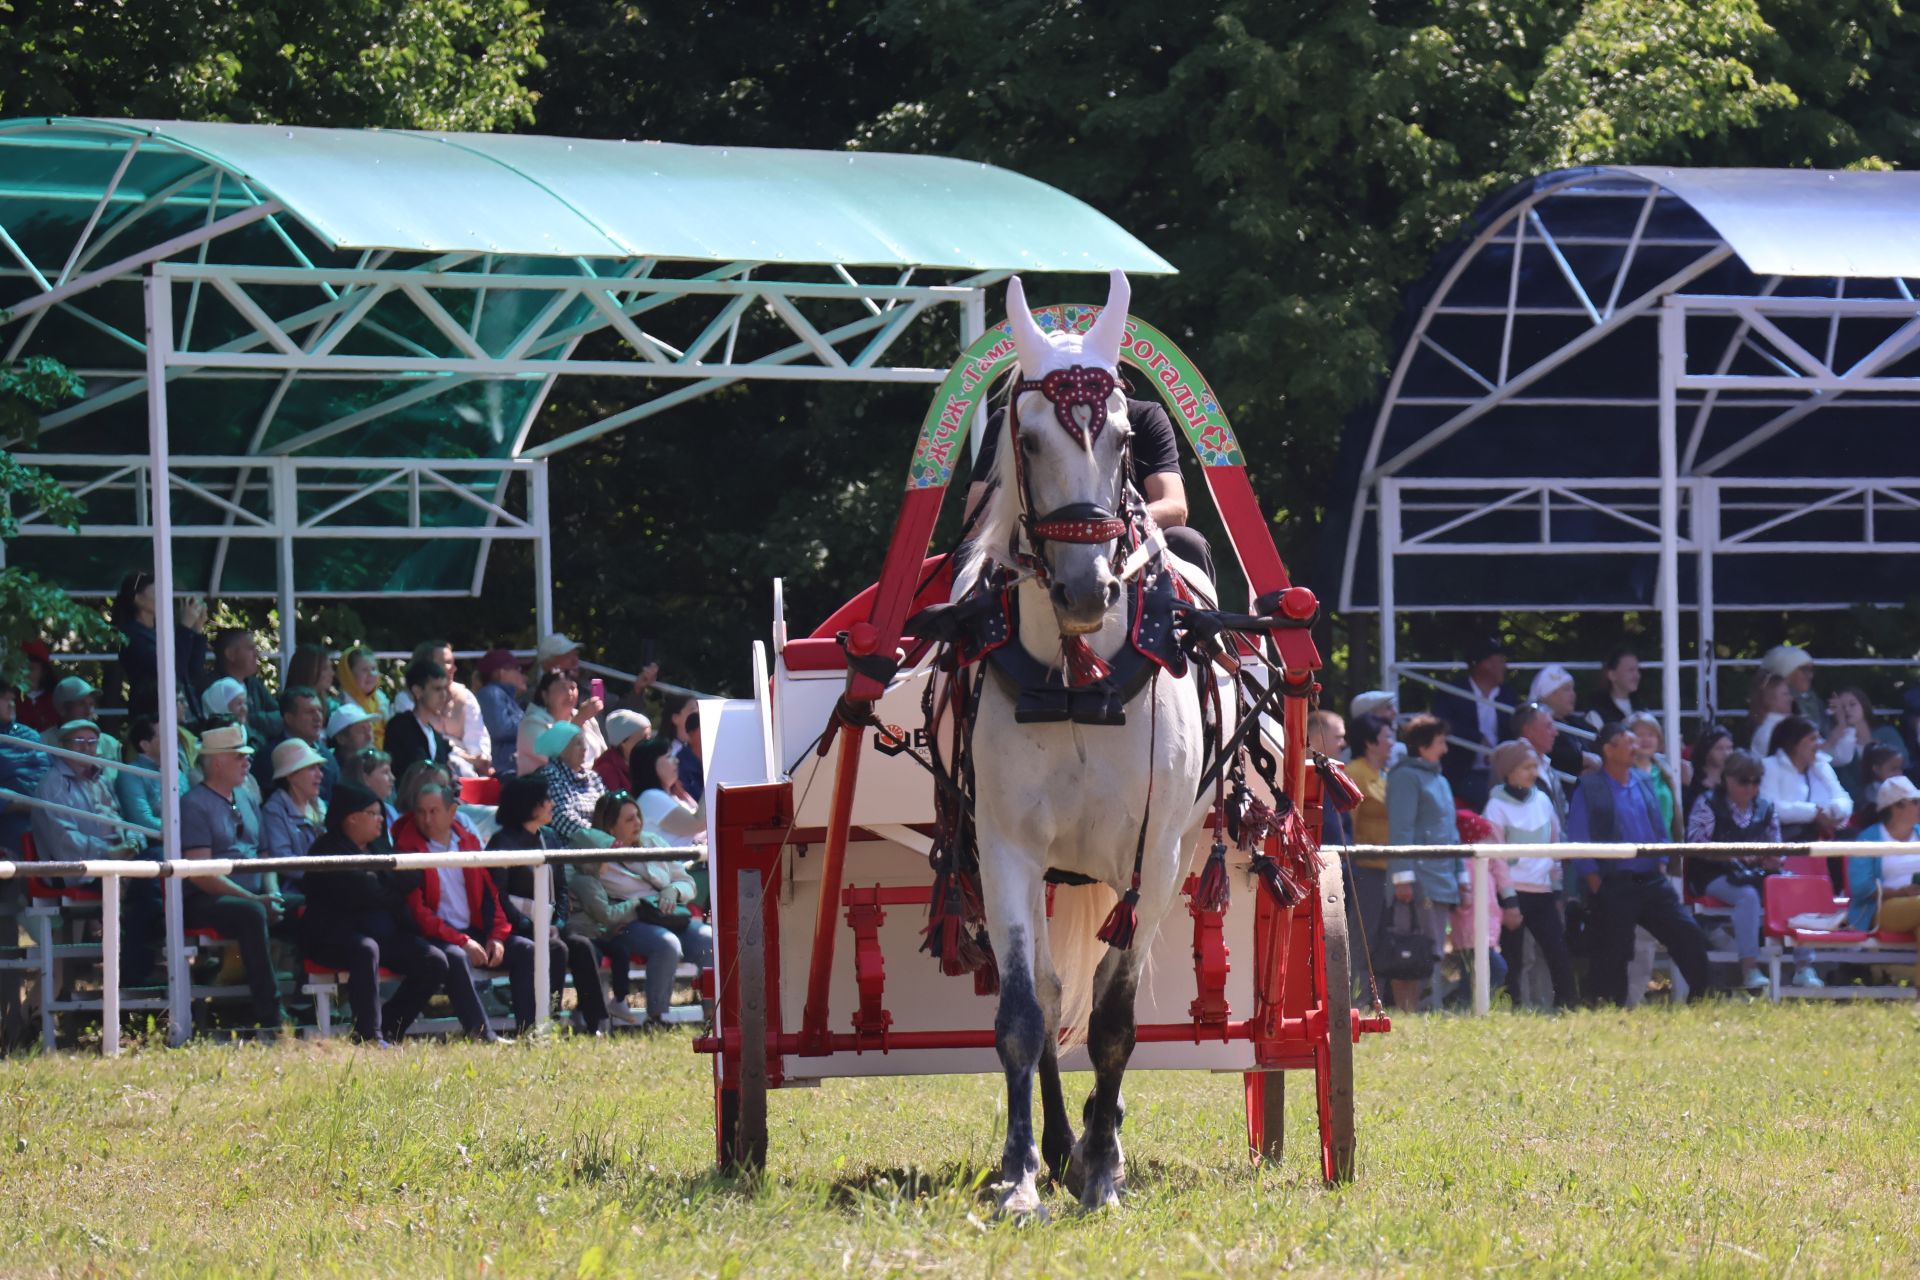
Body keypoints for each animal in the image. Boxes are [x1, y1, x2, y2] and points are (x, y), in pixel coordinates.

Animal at [960, 270, 1213, 1212]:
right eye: (1026, 438)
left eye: (1122, 440)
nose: (1085, 590)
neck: (1076, 680)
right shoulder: (1004, 848)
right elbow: (1025, 1014)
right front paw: (1023, 1173)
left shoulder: (1155, 856)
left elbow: (1113, 1019)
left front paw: (1104, 1169)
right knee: (1051, 989)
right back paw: (1060, 1145)